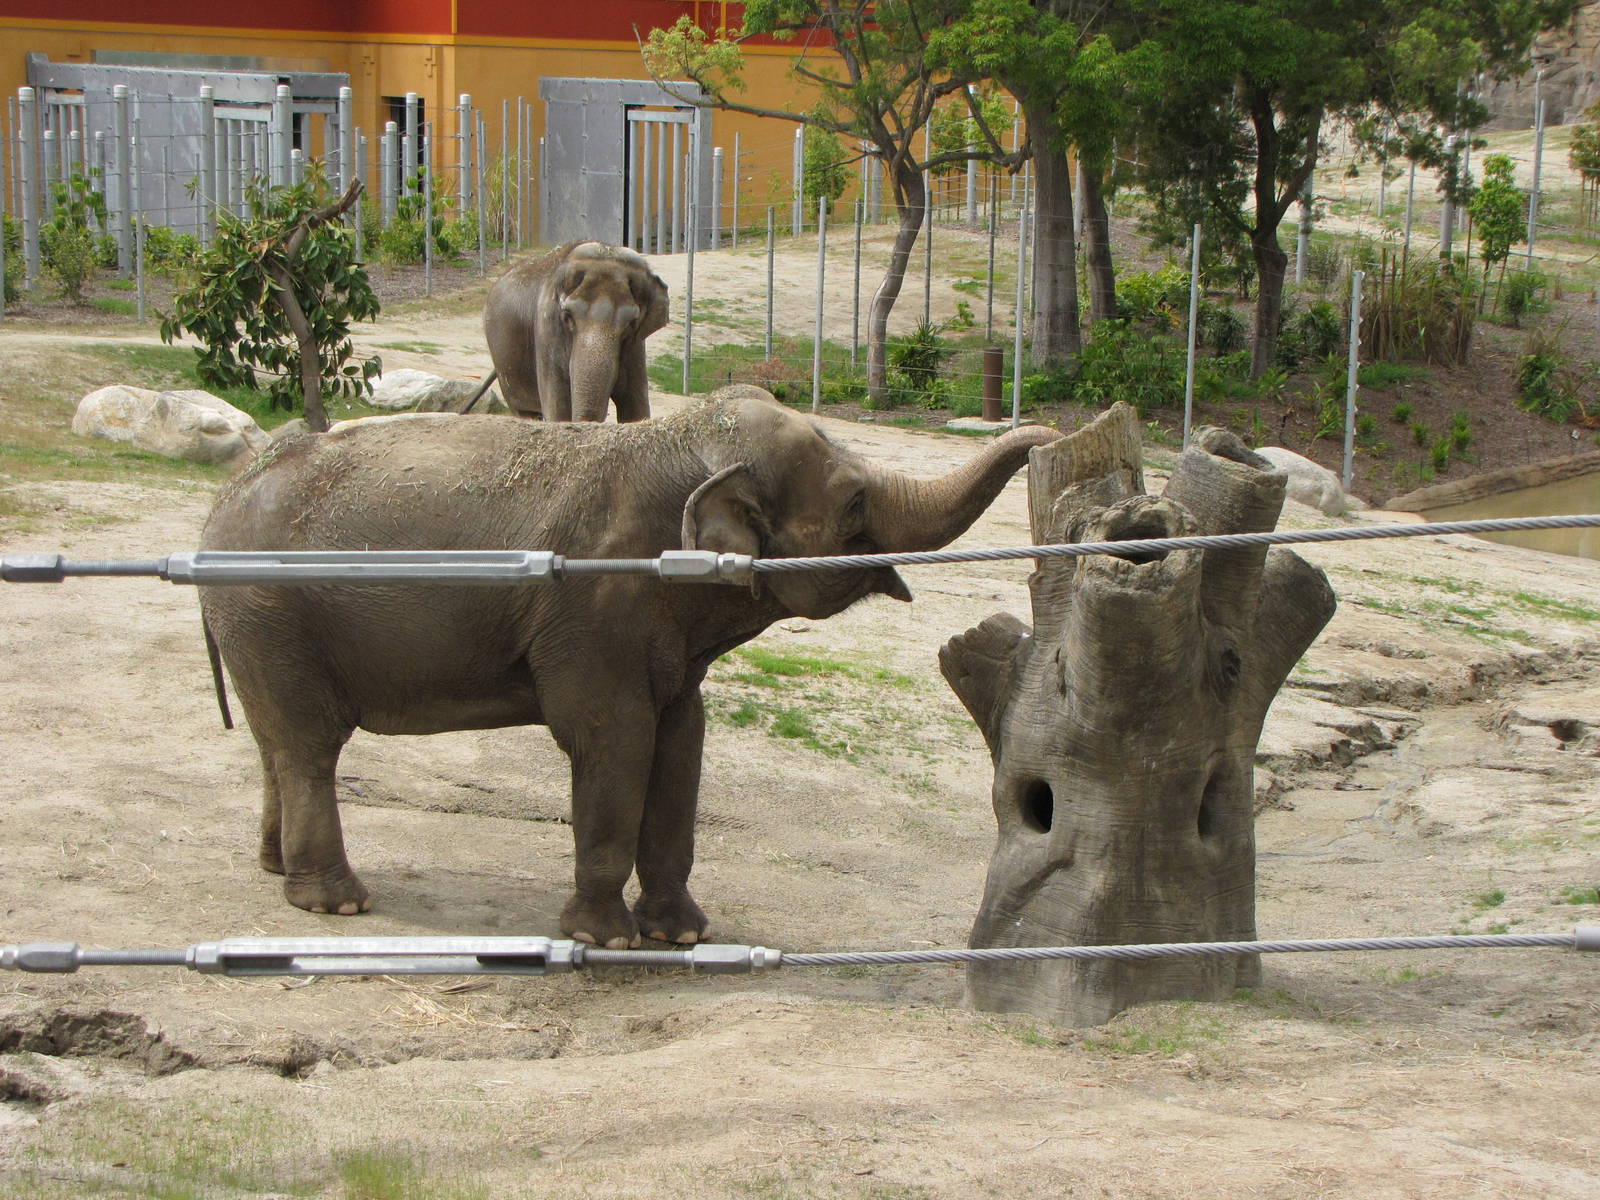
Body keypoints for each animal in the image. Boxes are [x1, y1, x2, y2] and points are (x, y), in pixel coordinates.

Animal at [198, 394, 1060, 948]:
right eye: (852, 507)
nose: (1049, 434)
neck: (673, 442)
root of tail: (220, 500)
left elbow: (681, 742)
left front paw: (682, 935)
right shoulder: (596, 603)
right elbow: (615, 738)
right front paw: (605, 942)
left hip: (262, 625)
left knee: (278, 742)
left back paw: (279, 869)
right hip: (268, 609)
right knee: (309, 743)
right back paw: (336, 906)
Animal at [483, 240, 669, 423]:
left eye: (631, 323)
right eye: (567, 317)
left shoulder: (636, 347)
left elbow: (636, 408)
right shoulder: (547, 330)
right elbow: (559, 410)